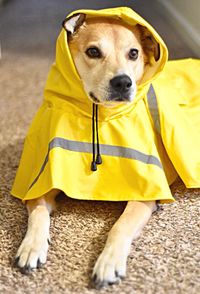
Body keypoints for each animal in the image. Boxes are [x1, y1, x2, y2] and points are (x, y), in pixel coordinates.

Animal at [14, 12, 159, 288]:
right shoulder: (42, 181)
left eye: (134, 53)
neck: (100, 116)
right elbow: (38, 213)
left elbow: (120, 226)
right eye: (93, 51)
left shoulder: (145, 196)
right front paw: (32, 246)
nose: (123, 82)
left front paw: (109, 263)